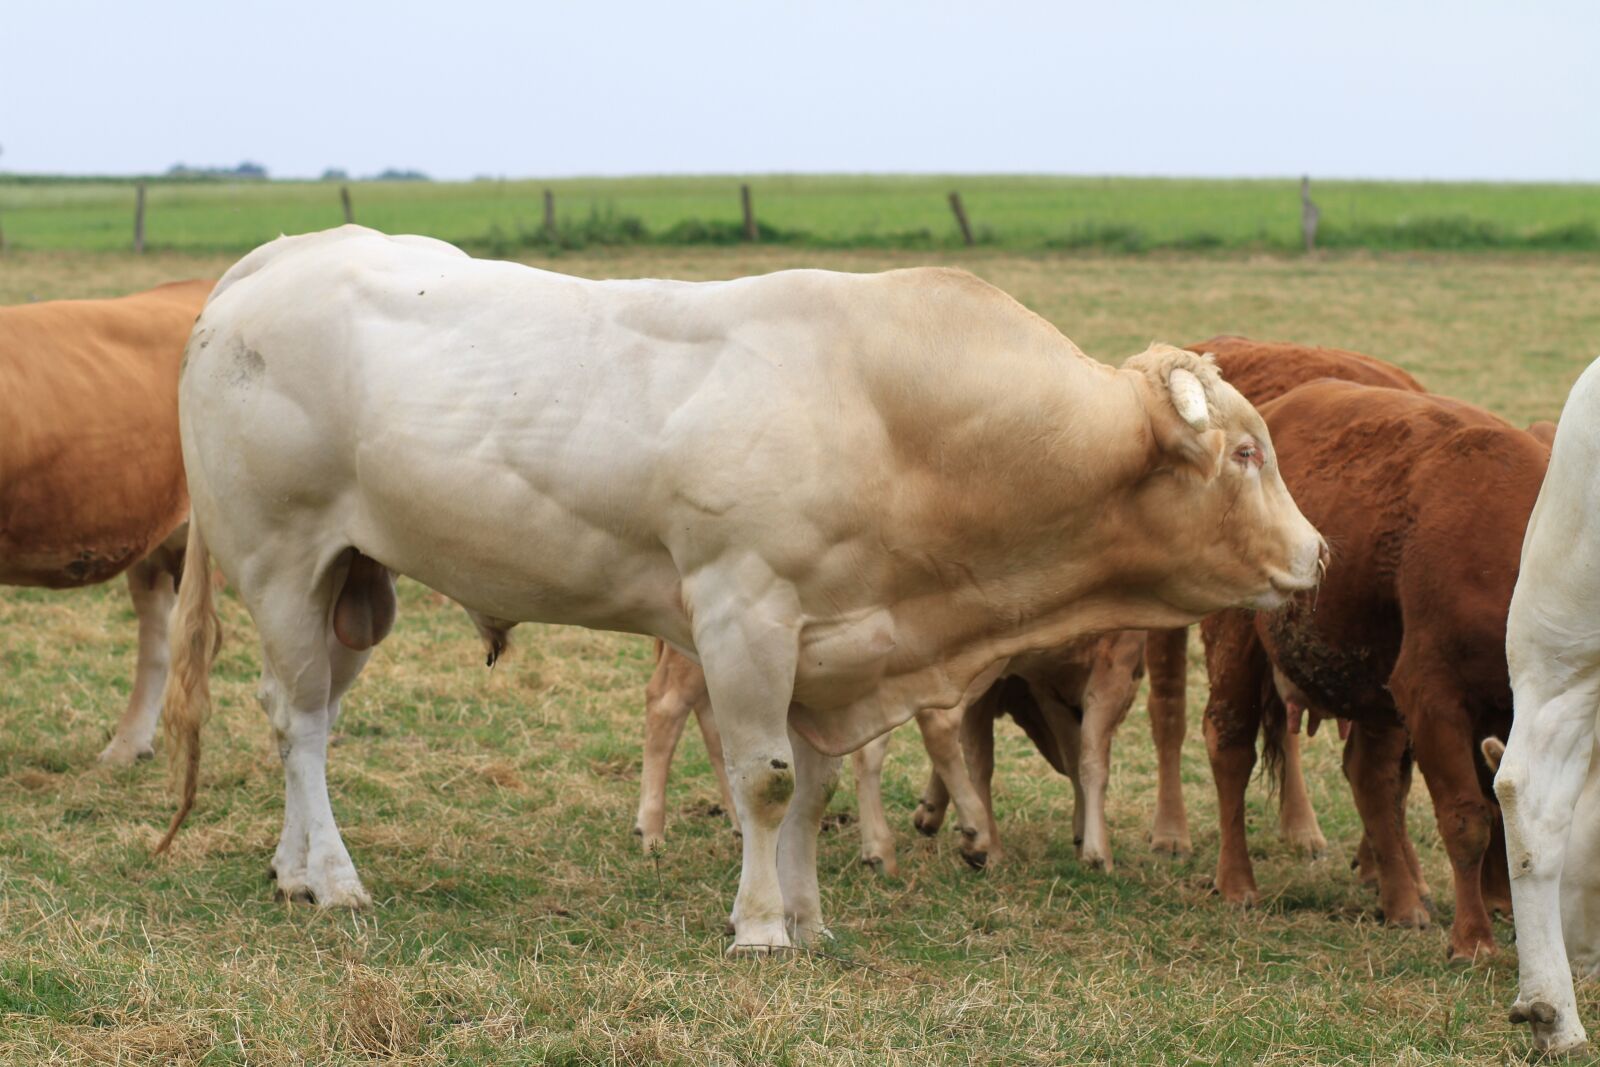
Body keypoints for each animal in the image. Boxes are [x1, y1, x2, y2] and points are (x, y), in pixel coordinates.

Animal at [157, 226, 1323, 954]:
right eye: (1245, 454)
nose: (1318, 554)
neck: (895, 414)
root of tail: (287, 254)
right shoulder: (743, 612)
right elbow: (763, 781)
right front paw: (762, 925)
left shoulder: (831, 641)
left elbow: (811, 787)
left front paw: (808, 917)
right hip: (284, 563)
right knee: (299, 724)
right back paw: (333, 876)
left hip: (353, 588)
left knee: (303, 720)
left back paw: (292, 868)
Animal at [1202, 379, 1549, 962]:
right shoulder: (1431, 695)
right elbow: (1467, 818)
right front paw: (1473, 939)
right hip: (1237, 644)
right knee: (1230, 748)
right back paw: (1236, 882)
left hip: (1373, 691)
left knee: (1370, 776)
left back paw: (1402, 901)